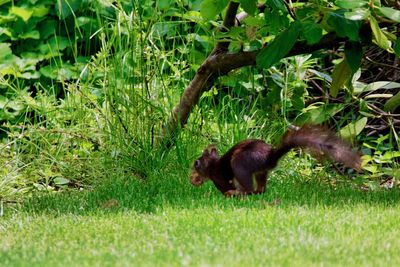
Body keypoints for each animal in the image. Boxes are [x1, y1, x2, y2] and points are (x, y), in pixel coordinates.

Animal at [191, 125, 362, 197]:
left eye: (196, 164)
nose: (191, 179)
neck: (212, 166)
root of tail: (270, 157)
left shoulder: (218, 177)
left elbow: (225, 186)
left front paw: (225, 193)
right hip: (261, 172)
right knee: (260, 189)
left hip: (239, 164)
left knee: (248, 188)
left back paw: (236, 193)